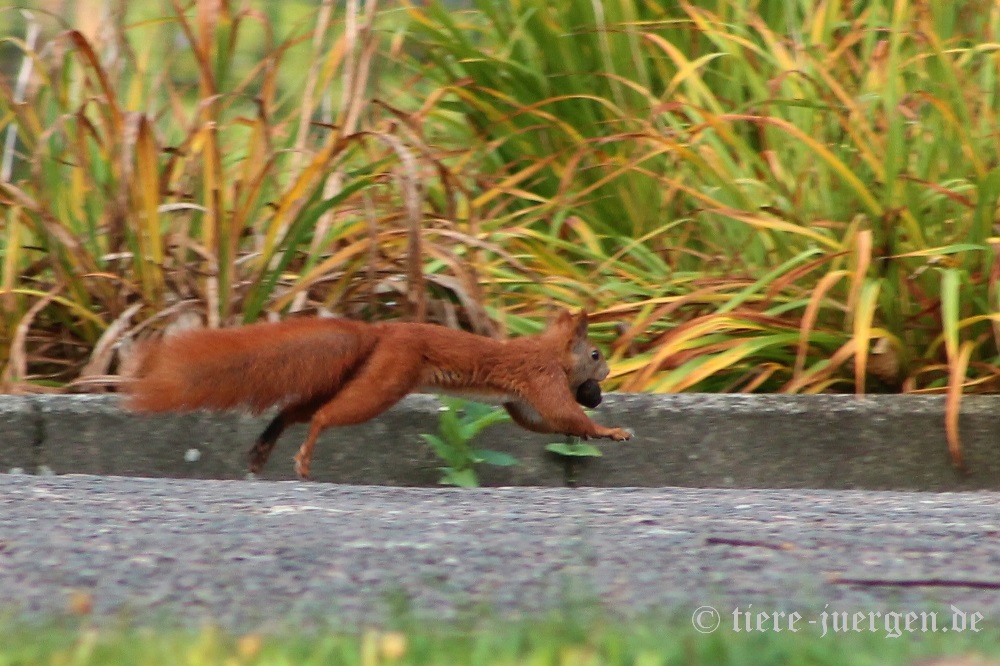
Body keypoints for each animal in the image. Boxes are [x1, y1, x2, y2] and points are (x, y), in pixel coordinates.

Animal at [123, 308, 624, 474]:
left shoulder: (521, 401)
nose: (609, 371)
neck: (550, 353)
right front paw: (610, 432)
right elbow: (563, 412)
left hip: (361, 375)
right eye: (596, 353)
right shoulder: (541, 379)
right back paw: (302, 458)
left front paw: (591, 433)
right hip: (386, 380)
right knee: (324, 416)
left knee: (295, 411)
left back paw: (264, 448)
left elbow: (541, 422)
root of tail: (379, 333)